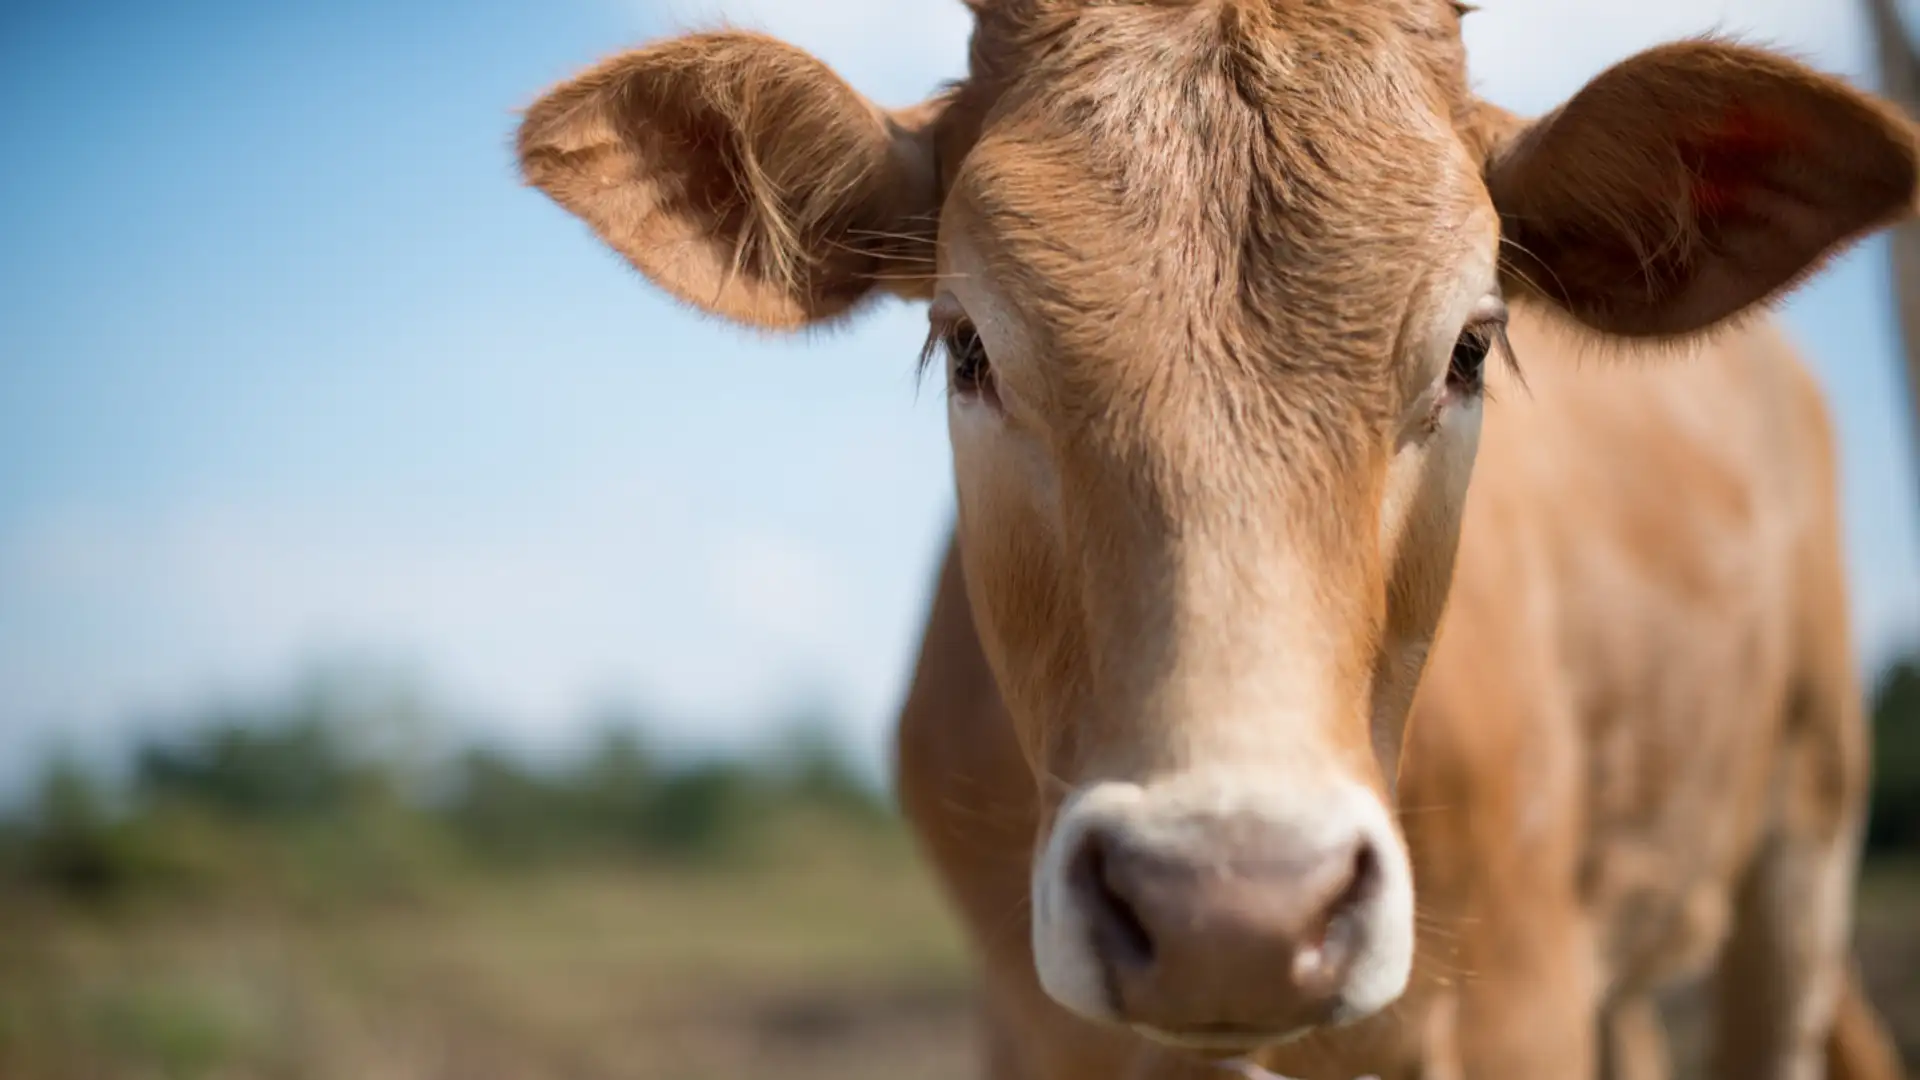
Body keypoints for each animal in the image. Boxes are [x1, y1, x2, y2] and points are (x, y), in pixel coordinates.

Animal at [515, 2, 1916, 1077]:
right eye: (967, 345)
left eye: (1471, 346)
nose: (1230, 910)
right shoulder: (1032, 1027)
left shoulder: (1527, 1000)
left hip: (1801, 843)